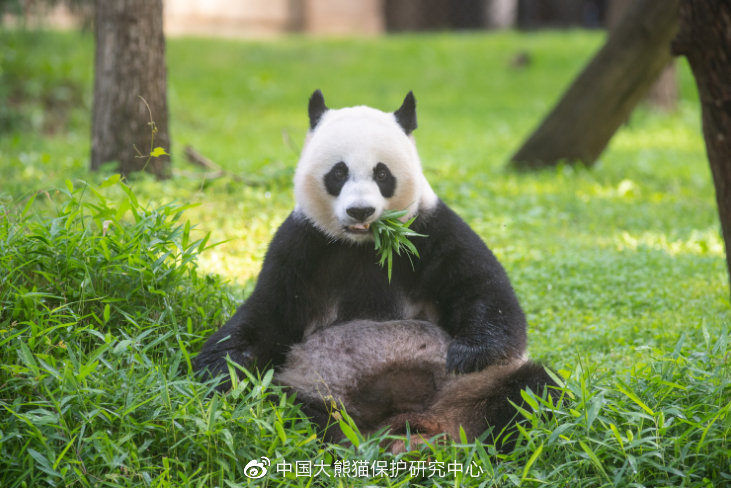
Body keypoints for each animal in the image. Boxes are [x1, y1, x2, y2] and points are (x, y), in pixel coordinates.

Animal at [196, 90, 560, 450]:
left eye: (382, 174)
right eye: (338, 172)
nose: (360, 210)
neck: (365, 246)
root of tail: (415, 424)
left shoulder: (429, 231)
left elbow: (483, 292)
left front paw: (465, 354)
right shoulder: (303, 245)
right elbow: (268, 317)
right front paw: (215, 374)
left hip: (475, 386)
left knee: (533, 395)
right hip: (311, 389)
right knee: (282, 413)